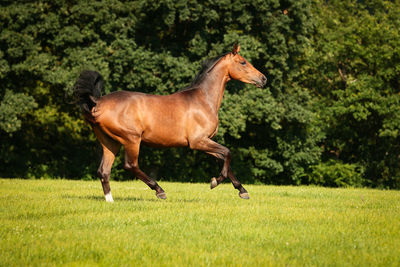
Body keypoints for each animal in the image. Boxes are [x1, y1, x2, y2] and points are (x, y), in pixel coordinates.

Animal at [73, 44, 268, 203]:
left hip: (110, 142)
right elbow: (227, 153)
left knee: (104, 172)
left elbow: (224, 159)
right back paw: (159, 191)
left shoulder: (205, 142)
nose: (264, 79)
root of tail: (97, 103)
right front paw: (215, 182)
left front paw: (242, 191)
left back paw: (110, 201)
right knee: (130, 165)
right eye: (243, 62)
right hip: (131, 139)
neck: (203, 100)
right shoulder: (198, 142)